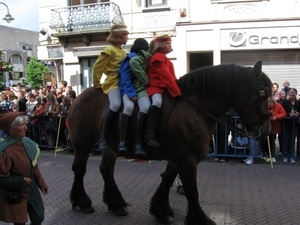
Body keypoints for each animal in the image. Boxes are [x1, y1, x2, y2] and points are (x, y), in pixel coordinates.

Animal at [67, 60, 272, 224]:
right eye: (262, 92)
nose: (266, 129)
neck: (193, 108)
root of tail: (77, 98)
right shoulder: (187, 160)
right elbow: (191, 190)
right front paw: (199, 218)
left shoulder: (178, 157)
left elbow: (167, 179)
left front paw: (161, 210)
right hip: (83, 146)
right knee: (79, 170)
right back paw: (83, 202)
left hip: (110, 147)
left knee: (106, 171)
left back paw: (116, 204)